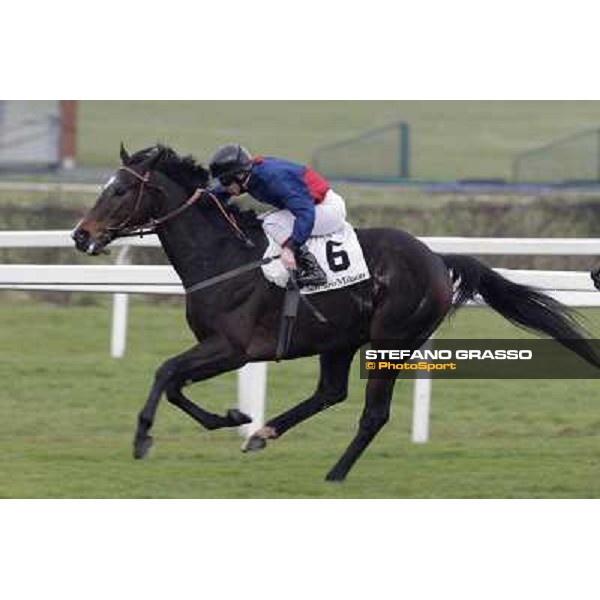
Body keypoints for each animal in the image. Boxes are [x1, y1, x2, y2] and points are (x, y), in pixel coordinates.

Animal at [71, 146, 600, 482]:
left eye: (120, 191)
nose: (80, 235)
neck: (223, 256)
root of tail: (435, 259)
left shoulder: (233, 348)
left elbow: (165, 373)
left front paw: (143, 438)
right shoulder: (216, 347)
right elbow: (175, 383)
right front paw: (235, 417)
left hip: (391, 341)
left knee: (373, 413)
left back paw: (336, 473)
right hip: (341, 339)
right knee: (330, 392)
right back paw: (263, 433)